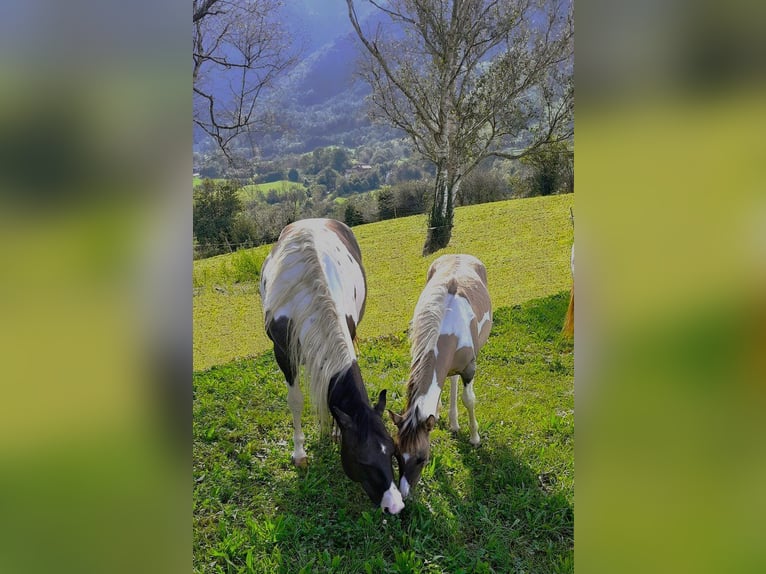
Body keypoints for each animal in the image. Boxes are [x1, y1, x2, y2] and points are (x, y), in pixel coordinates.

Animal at [259, 218, 404, 514]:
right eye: (362, 460)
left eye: (393, 450)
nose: (395, 506)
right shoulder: (283, 354)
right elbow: (295, 401)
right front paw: (299, 453)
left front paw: (337, 431)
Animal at [389, 254, 492, 498]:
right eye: (396, 454)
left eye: (421, 458)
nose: (404, 494)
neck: (446, 325)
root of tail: (461, 255)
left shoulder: (469, 368)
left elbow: (469, 400)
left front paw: (475, 438)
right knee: (450, 380)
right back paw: (452, 422)